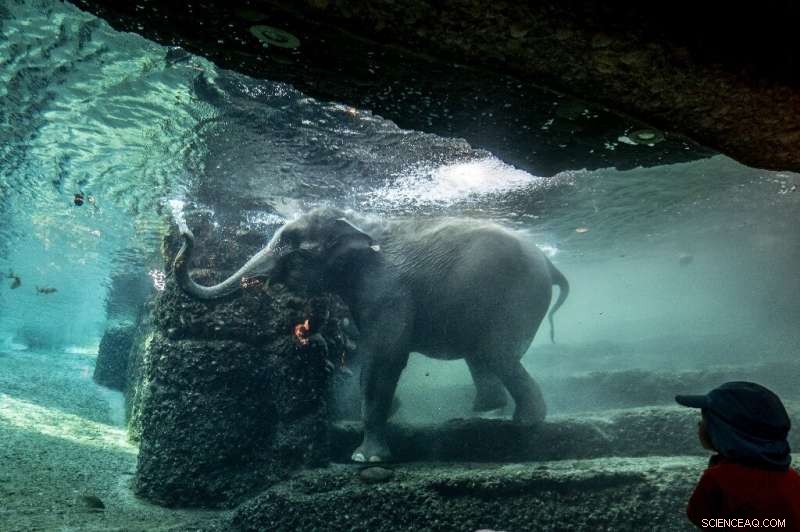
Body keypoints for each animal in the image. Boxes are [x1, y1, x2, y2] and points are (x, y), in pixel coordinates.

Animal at [173, 207, 569, 462]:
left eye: (291, 242)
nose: (185, 231)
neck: (360, 225)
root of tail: (552, 266)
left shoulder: (387, 291)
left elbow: (383, 361)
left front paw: (365, 459)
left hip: (518, 297)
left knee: (496, 354)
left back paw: (526, 422)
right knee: (486, 356)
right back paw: (488, 412)